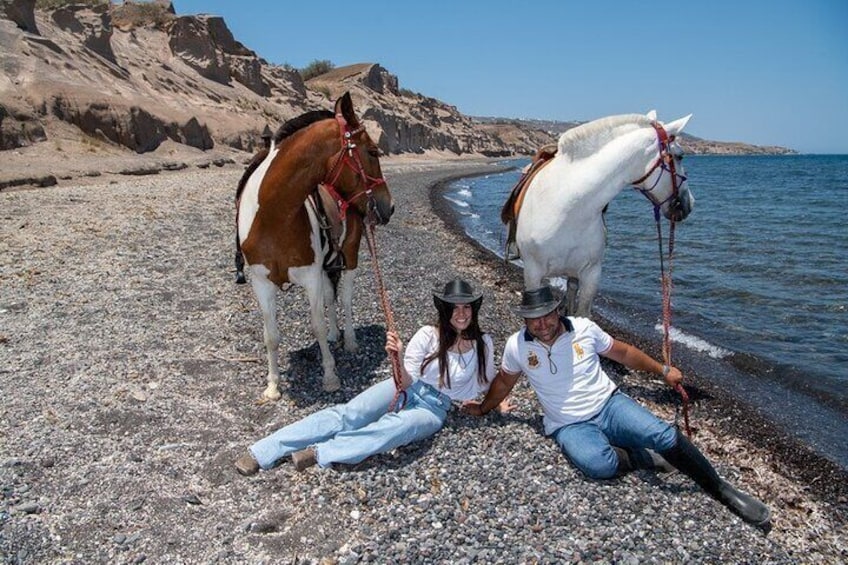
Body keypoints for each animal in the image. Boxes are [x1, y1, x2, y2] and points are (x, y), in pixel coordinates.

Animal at [235, 92, 394, 398]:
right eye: (372, 152)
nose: (388, 206)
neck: (273, 215)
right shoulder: (261, 282)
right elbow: (270, 335)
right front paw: (273, 385)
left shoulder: (310, 276)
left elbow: (317, 325)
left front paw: (330, 376)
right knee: (332, 299)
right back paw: (335, 334)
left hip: (350, 256)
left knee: (345, 298)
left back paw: (349, 341)